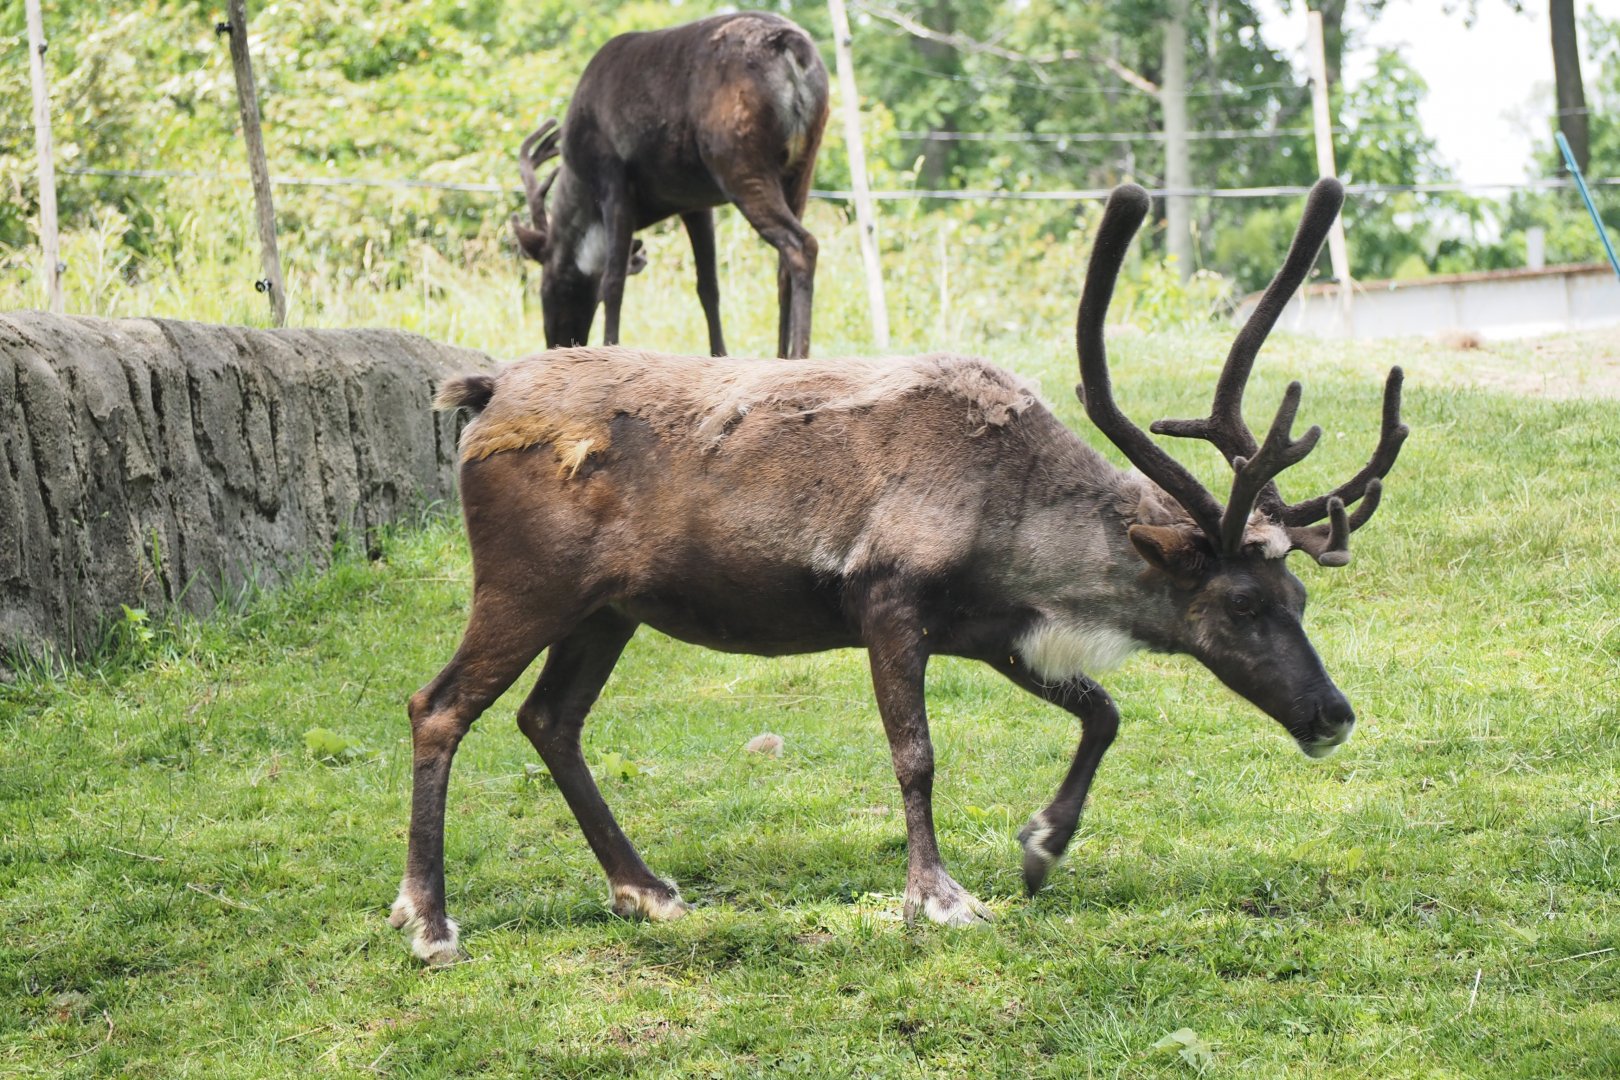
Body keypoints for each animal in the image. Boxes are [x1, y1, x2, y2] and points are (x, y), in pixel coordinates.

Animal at [390, 178, 1408, 965]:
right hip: (528, 584)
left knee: (549, 719)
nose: (1334, 713)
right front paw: (939, 896)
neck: (1018, 519)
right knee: (440, 705)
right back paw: (430, 921)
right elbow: (915, 754)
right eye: (1240, 604)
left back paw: (645, 889)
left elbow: (1104, 711)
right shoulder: (888, 601)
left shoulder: (995, 631)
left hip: (611, 609)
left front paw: (1042, 846)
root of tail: (483, 394)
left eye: (1298, 594)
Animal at [509, 12, 830, 360]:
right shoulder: (695, 203)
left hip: (738, 161)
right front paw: (719, 354)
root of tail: (793, 49)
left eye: (550, 285)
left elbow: (613, 280)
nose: (557, 341)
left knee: (801, 244)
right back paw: (781, 356)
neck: (583, 189)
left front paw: (611, 347)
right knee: (783, 264)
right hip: (802, 165)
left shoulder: (614, 181)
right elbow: (708, 286)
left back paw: (799, 354)